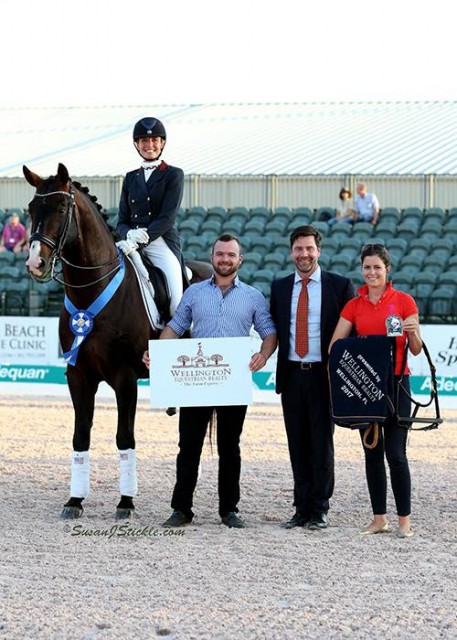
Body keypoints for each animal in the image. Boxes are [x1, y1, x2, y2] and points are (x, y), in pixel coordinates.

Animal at [23, 164, 212, 520]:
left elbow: (125, 438)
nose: (35, 264)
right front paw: (74, 500)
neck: (93, 290)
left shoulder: (125, 378)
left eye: (61, 208)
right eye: (31, 209)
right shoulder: (78, 376)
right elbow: (80, 436)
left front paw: (125, 502)